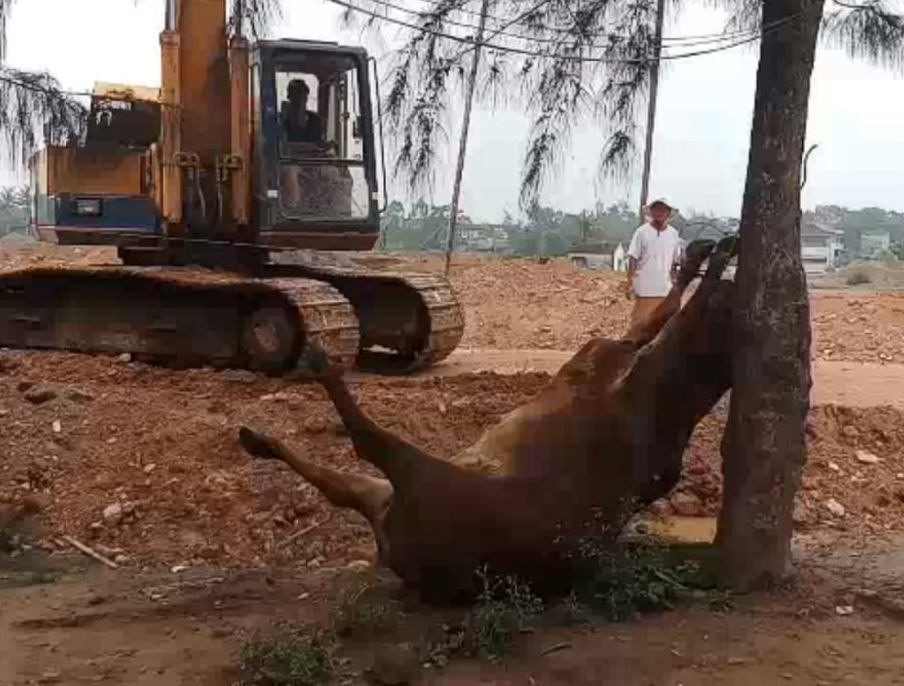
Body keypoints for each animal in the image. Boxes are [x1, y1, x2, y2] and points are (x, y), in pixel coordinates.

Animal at [240, 236, 740, 600]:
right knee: (340, 482)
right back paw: (259, 439)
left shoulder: (601, 361)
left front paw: (711, 264)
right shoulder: (609, 358)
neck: (669, 407)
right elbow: (656, 317)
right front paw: (702, 256)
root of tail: (393, 542)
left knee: (365, 440)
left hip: (414, 475)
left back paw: (316, 369)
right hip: (381, 492)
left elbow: (661, 318)